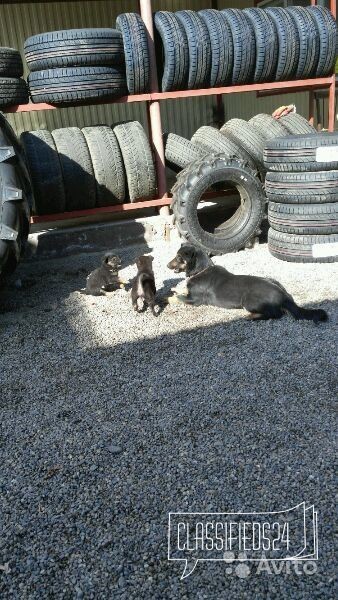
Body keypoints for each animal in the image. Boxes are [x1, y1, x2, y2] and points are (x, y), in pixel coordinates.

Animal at [168, 241, 328, 324]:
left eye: (178, 257)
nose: (167, 265)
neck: (201, 269)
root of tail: (283, 295)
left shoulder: (194, 300)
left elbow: (177, 298)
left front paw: (171, 296)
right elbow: (180, 291)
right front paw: (176, 289)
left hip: (248, 301)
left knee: (275, 314)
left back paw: (251, 316)